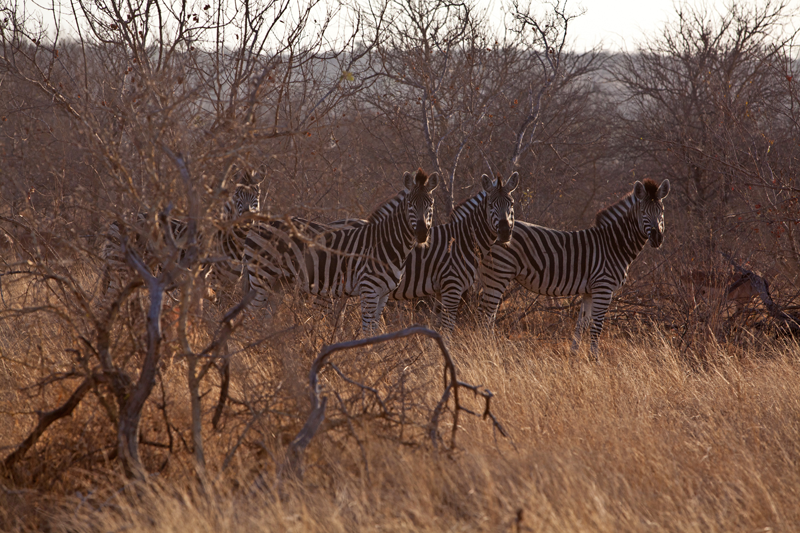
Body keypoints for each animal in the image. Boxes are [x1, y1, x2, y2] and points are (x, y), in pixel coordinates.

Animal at [242, 169, 439, 334]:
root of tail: (257, 224)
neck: (387, 244)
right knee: (248, 316)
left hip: (279, 283)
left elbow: (374, 329)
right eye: (410, 204)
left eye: (430, 204)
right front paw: (364, 354)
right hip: (262, 278)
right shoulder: (369, 290)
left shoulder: (383, 293)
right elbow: (366, 330)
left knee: (266, 319)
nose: (422, 233)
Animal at [387, 172, 519, 332]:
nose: (505, 232)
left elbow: (436, 325)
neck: (462, 241)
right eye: (491, 205)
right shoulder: (452, 287)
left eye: (512, 204)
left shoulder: (440, 291)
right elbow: (447, 329)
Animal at [478, 178, 670, 358]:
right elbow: (596, 326)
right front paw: (595, 359)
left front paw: (574, 356)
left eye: (661, 211)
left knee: (484, 311)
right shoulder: (603, 287)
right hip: (499, 273)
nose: (658, 238)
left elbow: (581, 325)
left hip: (491, 275)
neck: (613, 245)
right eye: (643, 212)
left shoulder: (589, 291)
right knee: (488, 315)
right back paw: (488, 351)